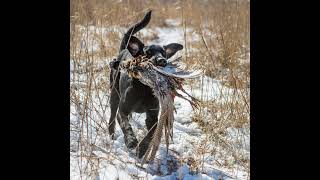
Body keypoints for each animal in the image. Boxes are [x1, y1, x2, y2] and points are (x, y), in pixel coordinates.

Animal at [108, 10, 182, 158]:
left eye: (164, 53)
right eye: (148, 53)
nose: (162, 61)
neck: (144, 88)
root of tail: (125, 50)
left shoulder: (153, 117)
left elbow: (150, 134)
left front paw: (142, 148)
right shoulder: (122, 110)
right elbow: (126, 125)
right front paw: (131, 141)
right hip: (114, 93)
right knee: (112, 115)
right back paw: (111, 133)